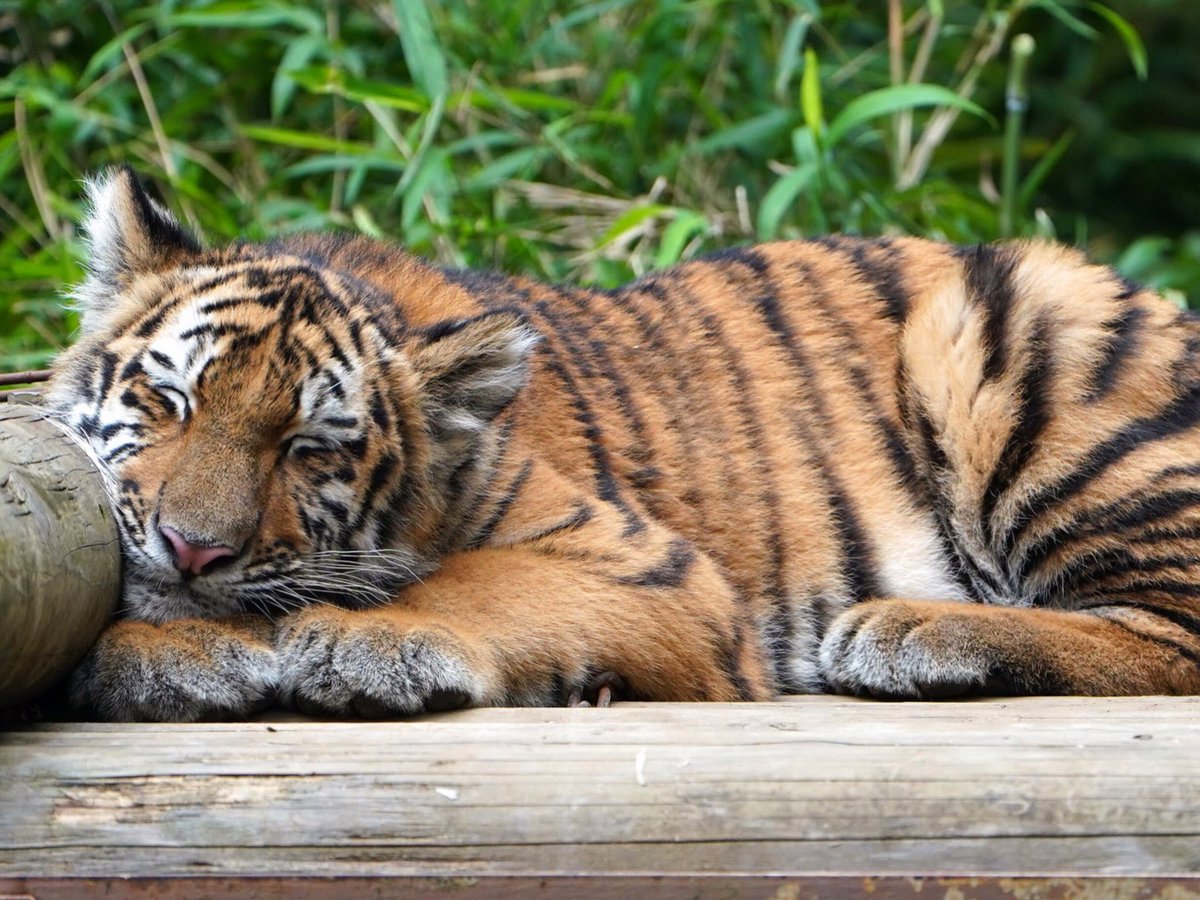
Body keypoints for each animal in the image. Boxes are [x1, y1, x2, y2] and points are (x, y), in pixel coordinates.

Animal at [49, 165, 1200, 724]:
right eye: (167, 401)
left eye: (307, 448)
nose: (193, 549)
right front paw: (180, 653)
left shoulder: (651, 567)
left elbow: (480, 585)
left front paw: (357, 639)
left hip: (1016, 332)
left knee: (1175, 638)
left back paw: (909, 634)